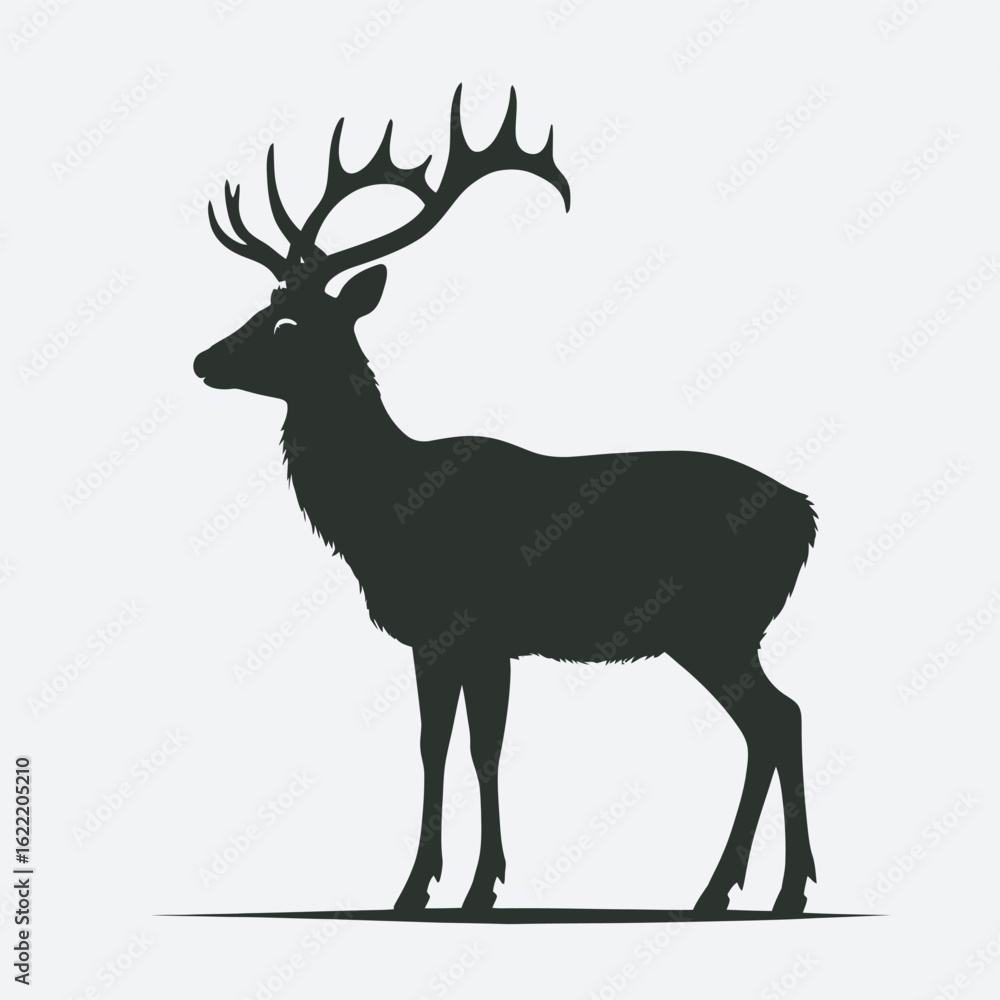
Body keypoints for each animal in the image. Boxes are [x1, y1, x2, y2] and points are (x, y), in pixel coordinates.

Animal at [193, 85, 818, 916]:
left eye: (289, 322)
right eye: (262, 305)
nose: (203, 359)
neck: (386, 511)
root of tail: (805, 516)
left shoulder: (463, 626)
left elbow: (457, 747)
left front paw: (442, 887)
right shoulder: (467, 641)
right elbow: (465, 746)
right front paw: (459, 883)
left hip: (715, 625)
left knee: (777, 719)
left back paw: (748, 888)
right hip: (725, 632)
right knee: (777, 721)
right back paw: (755, 888)